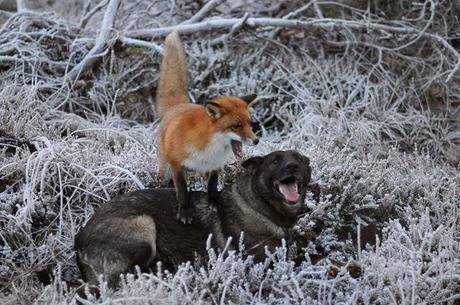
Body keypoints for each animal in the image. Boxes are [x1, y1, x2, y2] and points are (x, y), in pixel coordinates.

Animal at [74, 150, 312, 288]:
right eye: (275, 161)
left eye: (300, 159)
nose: (293, 166)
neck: (260, 206)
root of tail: (79, 239)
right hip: (144, 226)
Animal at [156, 30, 258, 222]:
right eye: (236, 125)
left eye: (250, 124)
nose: (256, 141)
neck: (208, 146)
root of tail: (178, 106)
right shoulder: (177, 164)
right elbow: (182, 191)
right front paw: (185, 212)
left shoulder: (214, 165)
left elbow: (212, 184)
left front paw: (213, 201)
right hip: (164, 167)